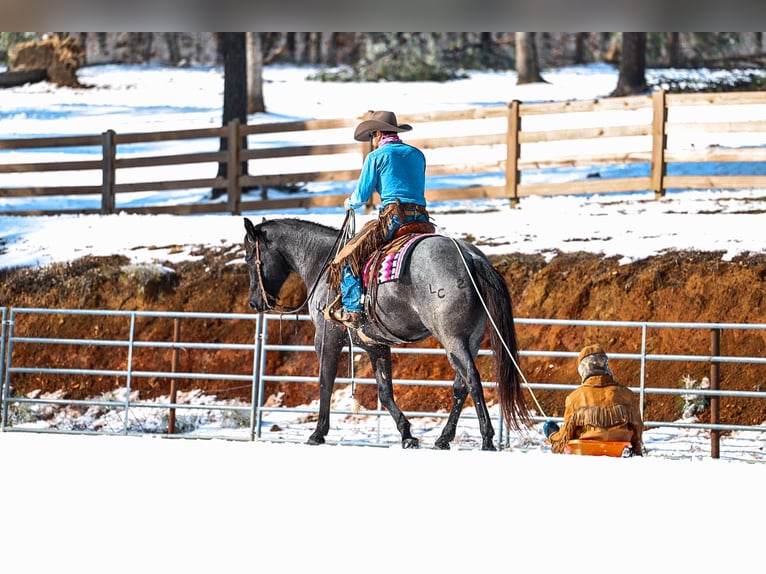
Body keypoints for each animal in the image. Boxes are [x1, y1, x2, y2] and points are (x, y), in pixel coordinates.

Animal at [243, 216, 531, 450]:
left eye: (247, 258)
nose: (255, 302)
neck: (323, 264)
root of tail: (471, 257)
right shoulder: (376, 345)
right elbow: (385, 391)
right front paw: (407, 435)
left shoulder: (326, 338)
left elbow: (325, 383)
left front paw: (318, 433)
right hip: (470, 340)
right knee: (460, 386)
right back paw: (443, 438)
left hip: (452, 339)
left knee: (472, 379)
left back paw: (487, 439)